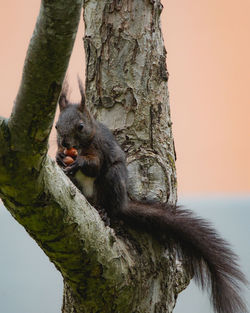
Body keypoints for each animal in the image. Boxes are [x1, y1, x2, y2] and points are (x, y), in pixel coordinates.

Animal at [55, 80, 248, 312]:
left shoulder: (99, 148)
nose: (64, 143)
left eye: (81, 127)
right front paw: (58, 158)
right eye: (56, 127)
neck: (83, 144)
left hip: (111, 181)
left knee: (110, 205)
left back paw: (104, 212)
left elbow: (94, 164)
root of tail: (123, 202)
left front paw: (78, 162)